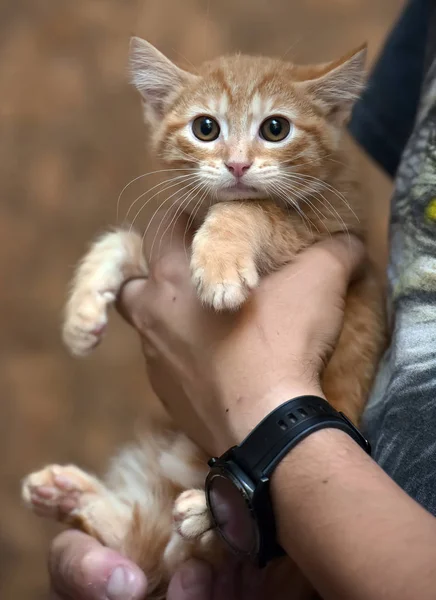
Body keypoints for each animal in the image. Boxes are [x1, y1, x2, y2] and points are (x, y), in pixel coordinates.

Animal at [23, 38, 384, 600]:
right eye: (205, 128)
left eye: (275, 128)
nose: (237, 165)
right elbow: (121, 241)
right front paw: (83, 310)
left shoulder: (329, 222)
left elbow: (255, 210)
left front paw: (219, 263)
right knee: (149, 550)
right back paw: (71, 496)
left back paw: (206, 518)